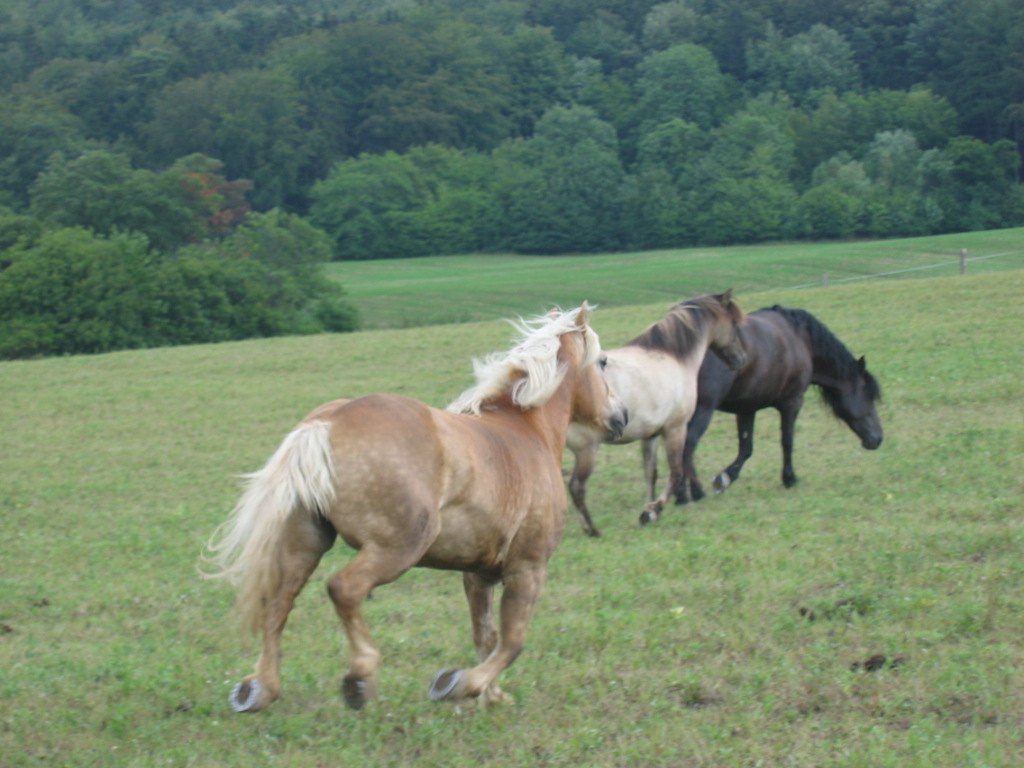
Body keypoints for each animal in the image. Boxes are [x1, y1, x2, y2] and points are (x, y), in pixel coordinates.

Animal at [203, 303, 626, 712]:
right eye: (603, 361)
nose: (620, 417)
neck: (526, 429)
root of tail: (327, 422)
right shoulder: (528, 567)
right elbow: (512, 641)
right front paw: (460, 685)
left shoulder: (478, 575)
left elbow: (485, 636)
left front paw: (489, 695)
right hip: (398, 547)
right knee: (343, 589)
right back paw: (360, 676)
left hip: (304, 544)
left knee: (278, 604)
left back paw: (261, 689)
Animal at [565, 290, 749, 536]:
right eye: (735, 324)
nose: (741, 359)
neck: (674, 357)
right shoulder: (675, 429)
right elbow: (676, 472)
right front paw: (653, 511)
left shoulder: (650, 435)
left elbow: (651, 473)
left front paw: (649, 506)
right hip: (586, 449)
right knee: (576, 486)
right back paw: (591, 529)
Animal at [675, 307, 884, 505]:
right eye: (869, 395)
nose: (878, 438)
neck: (801, 339)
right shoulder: (792, 402)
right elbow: (787, 441)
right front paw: (789, 478)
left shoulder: (746, 408)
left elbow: (746, 447)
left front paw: (726, 477)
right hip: (703, 410)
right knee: (688, 445)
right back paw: (691, 494)